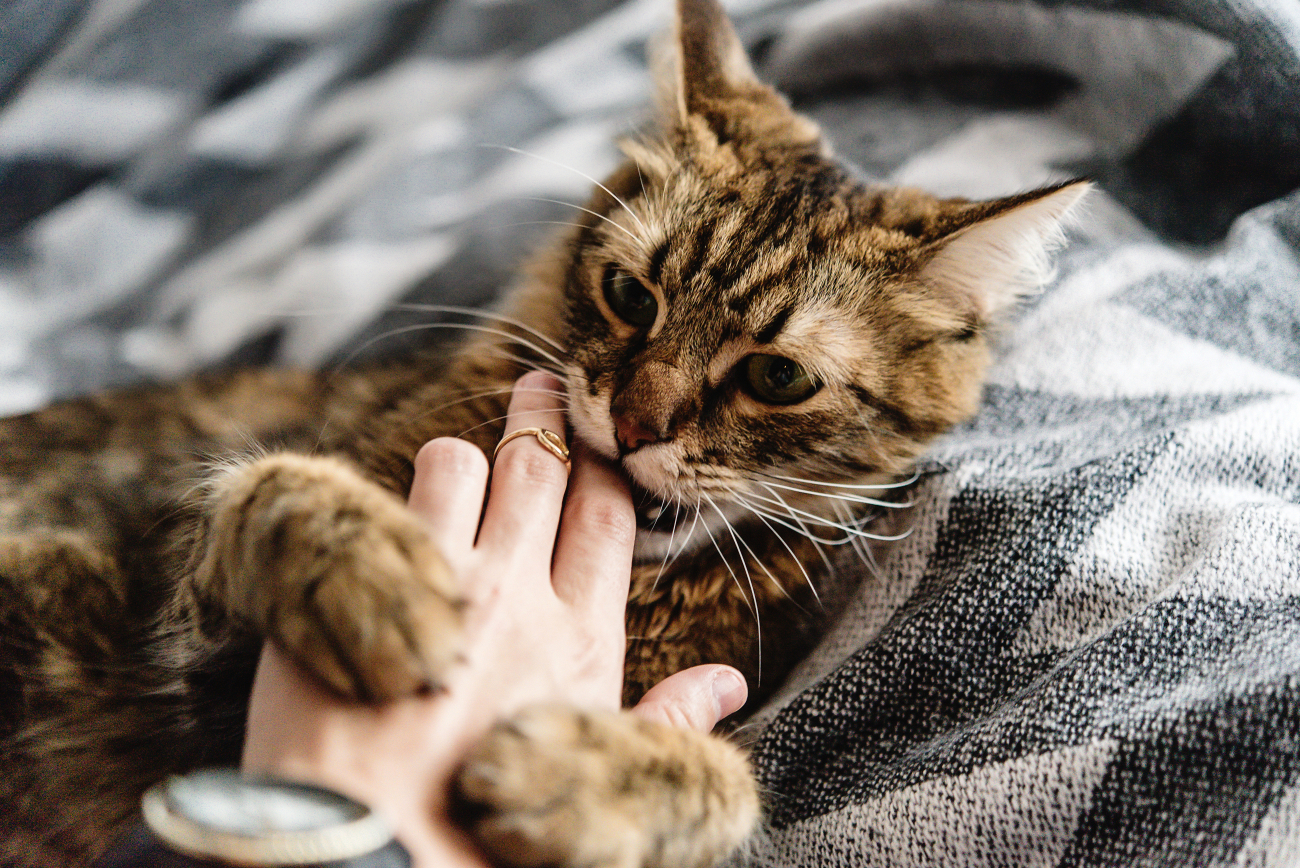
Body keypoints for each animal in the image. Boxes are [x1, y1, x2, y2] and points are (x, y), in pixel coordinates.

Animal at [0, 1, 1086, 868]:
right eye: (630, 296)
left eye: (777, 377)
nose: (637, 421)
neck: (647, 591)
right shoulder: (188, 633)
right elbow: (272, 484)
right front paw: (377, 578)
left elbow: (728, 781)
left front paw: (575, 779)